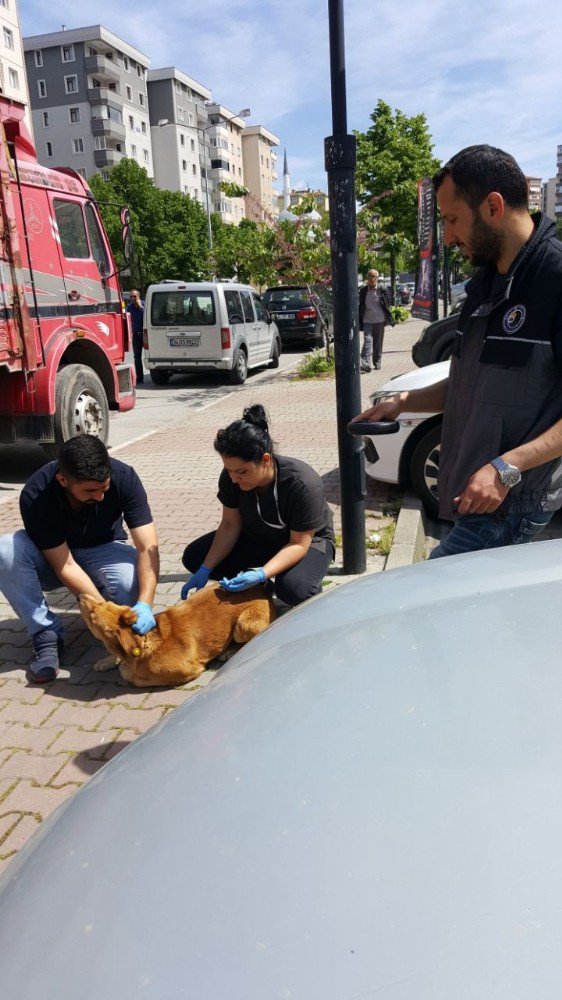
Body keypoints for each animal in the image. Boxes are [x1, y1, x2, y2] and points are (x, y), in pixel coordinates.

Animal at [78, 584, 276, 688]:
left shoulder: (187, 670)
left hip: (243, 625)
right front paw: (107, 661)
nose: (79, 595)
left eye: (92, 615)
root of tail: (260, 588)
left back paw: (230, 652)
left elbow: (129, 673)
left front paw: (125, 668)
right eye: (104, 601)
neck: (145, 640)